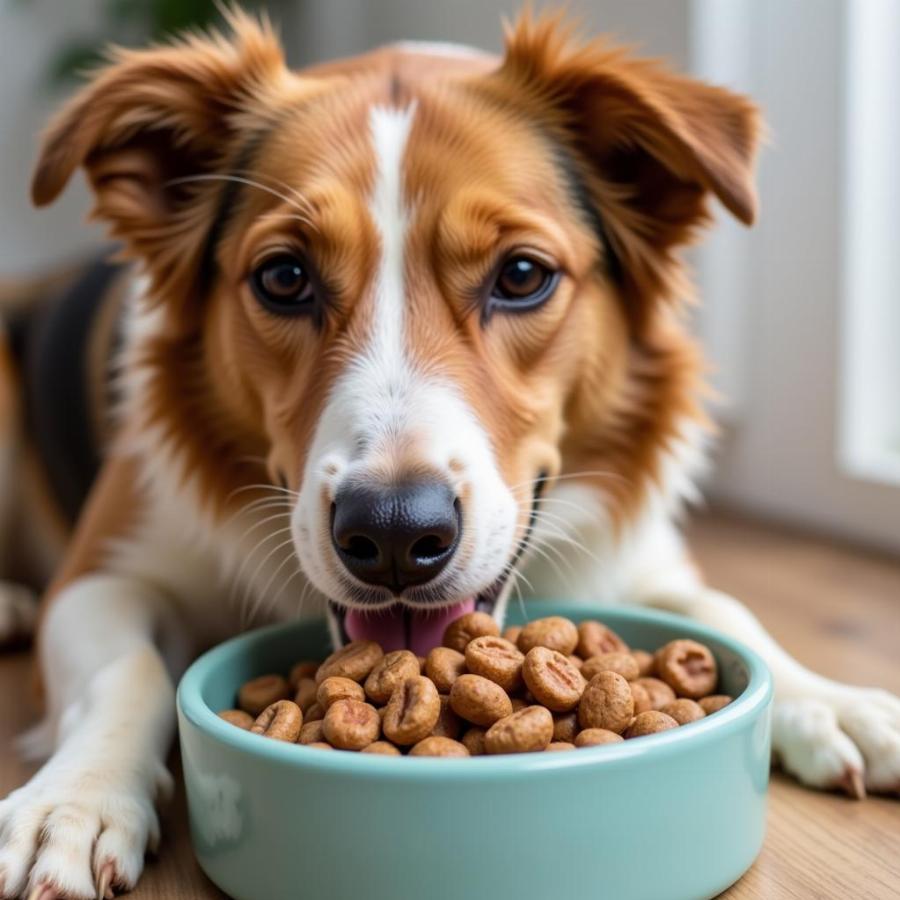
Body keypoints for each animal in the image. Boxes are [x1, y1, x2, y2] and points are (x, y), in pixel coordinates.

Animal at [0, 8, 896, 900]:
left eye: (523, 274)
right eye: (284, 277)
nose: (395, 532)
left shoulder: (639, 554)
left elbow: (726, 609)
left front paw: (833, 702)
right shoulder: (99, 575)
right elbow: (130, 671)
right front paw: (72, 801)